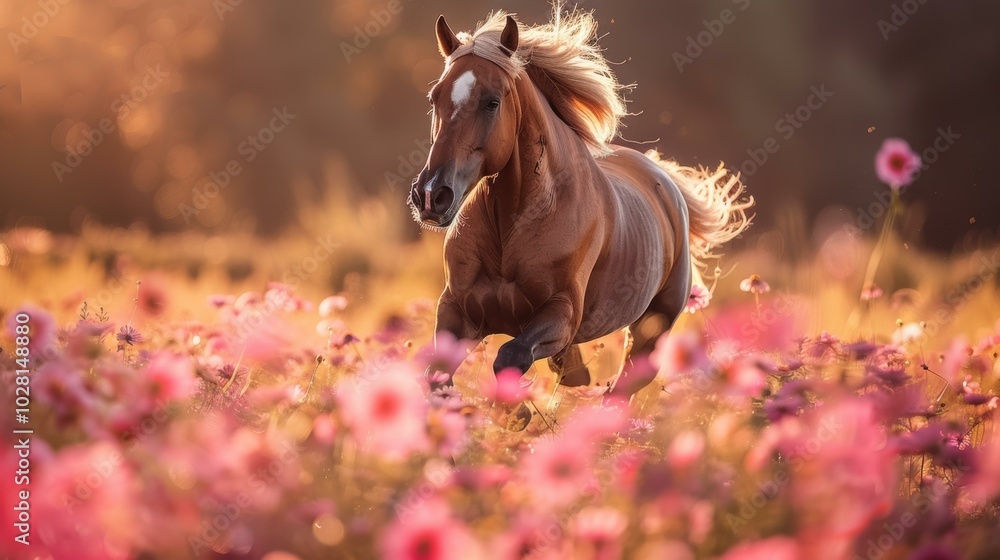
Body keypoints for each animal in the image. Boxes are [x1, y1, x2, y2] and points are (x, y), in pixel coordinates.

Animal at [406, 8, 752, 410]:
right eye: (434, 97)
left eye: (492, 101)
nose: (432, 194)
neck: (515, 223)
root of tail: (664, 181)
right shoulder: (458, 311)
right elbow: (437, 377)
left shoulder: (561, 314)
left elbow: (510, 356)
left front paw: (514, 413)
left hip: (652, 330)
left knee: (621, 390)